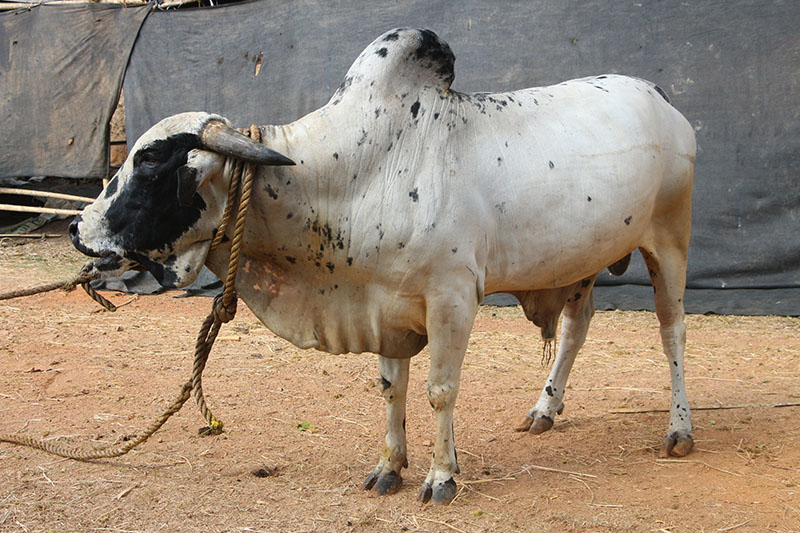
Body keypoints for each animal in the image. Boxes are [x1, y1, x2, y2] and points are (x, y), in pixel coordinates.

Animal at [70, 29, 692, 502]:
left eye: (151, 160)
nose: (78, 228)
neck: (356, 173)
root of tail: (659, 95)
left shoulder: (451, 299)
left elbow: (440, 390)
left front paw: (442, 477)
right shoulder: (384, 305)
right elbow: (392, 389)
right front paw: (390, 468)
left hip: (669, 243)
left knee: (672, 334)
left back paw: (679, 429)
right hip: (580, 263)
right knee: (574, 329)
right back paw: (545, 408)